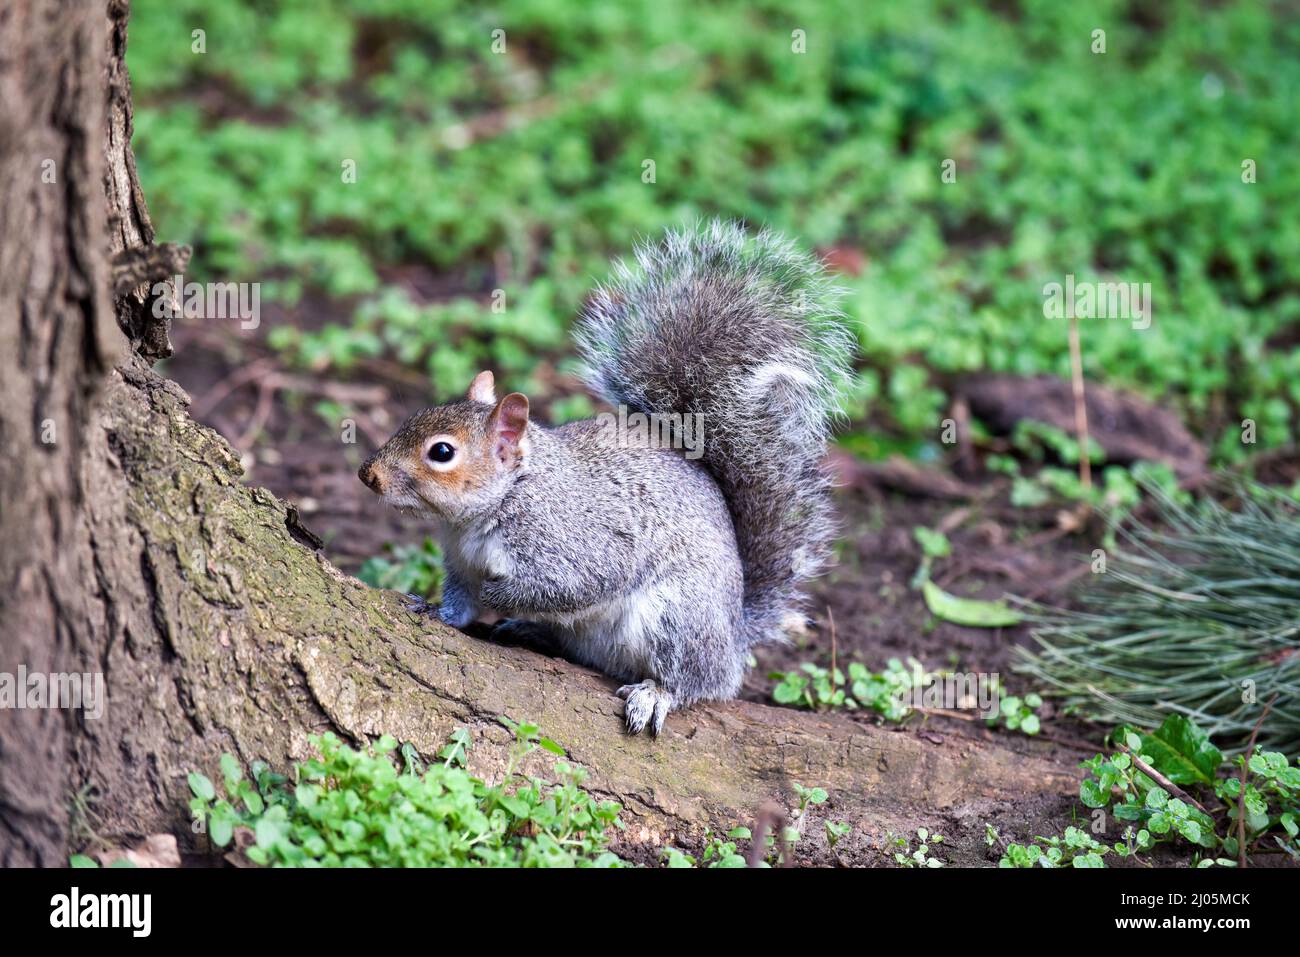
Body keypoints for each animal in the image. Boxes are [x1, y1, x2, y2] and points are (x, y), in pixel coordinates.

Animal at [358, 220, 854, 735]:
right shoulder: (459, 562)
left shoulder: (577, 543)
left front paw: (501, 594)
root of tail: (735, 636)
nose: (367, 474)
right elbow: (459, 604)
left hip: (678, 617)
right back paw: (531, 630)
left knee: (694, 682)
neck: (501, 502)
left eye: (442, 452)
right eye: (413, 417)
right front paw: (436, 609)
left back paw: (655, 693)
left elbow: (578, 585)